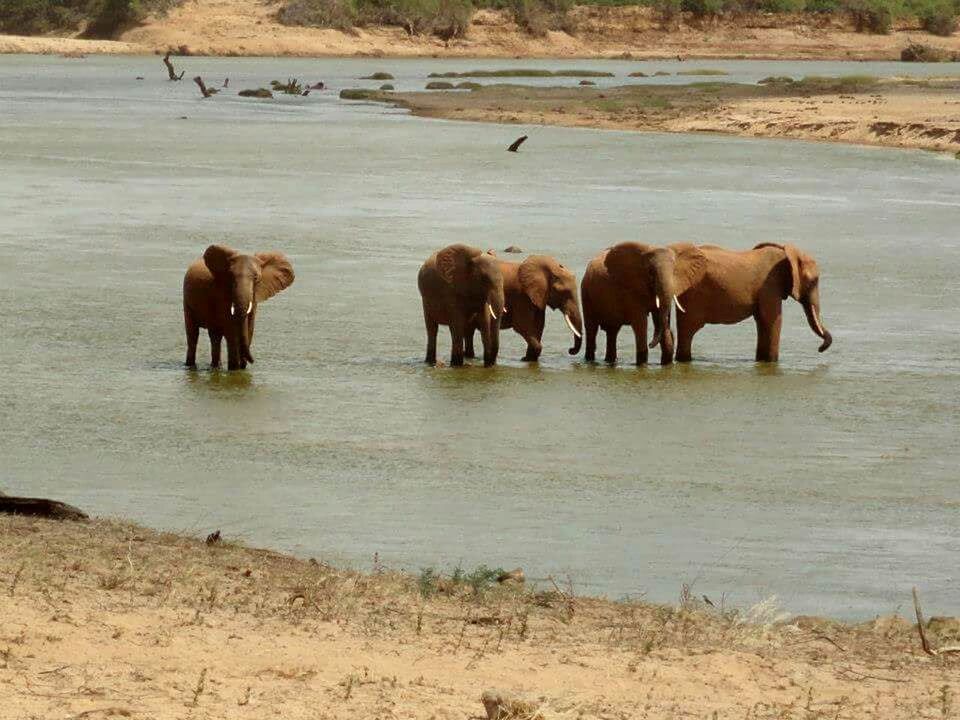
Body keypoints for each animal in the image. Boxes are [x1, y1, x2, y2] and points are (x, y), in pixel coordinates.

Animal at [576, 243, 704, 366]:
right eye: (651, 273)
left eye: (675, 273)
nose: (651, 344)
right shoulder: (631, 291)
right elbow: (641, 322)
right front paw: (642, 364)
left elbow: (658, 318)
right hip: (586, 294)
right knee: (592, 329)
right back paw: (590, 361)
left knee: (612, 331)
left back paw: (610, 361)